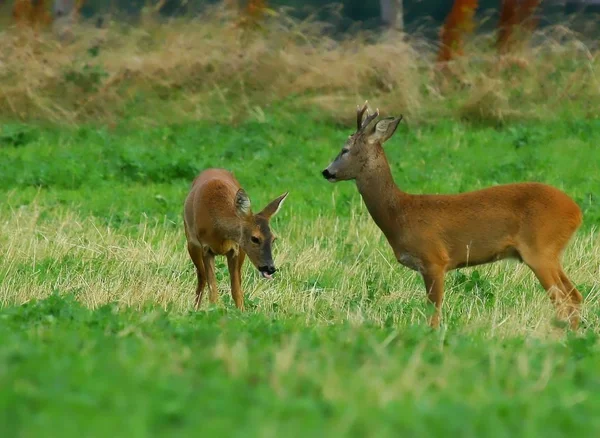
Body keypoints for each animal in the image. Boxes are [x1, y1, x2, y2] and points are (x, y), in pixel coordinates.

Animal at [183, 169, 288, 312]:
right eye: (255, 238)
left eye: (273, 239)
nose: (270, 268)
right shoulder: (206, 248)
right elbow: (213, 291)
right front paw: (213, 310)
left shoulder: (235, 249)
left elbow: (236, 290)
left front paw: (241, 313)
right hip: (191, 244)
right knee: (201, 277)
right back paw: (196, 308)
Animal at [322, 103, 584, 328]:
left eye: (344, 150)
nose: (326, 172)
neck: (400, 214)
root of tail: (577, 212)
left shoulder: (434, 260)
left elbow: (434, 313)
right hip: (550, 253)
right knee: (575, 295)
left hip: (540, 249)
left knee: (565, 299)